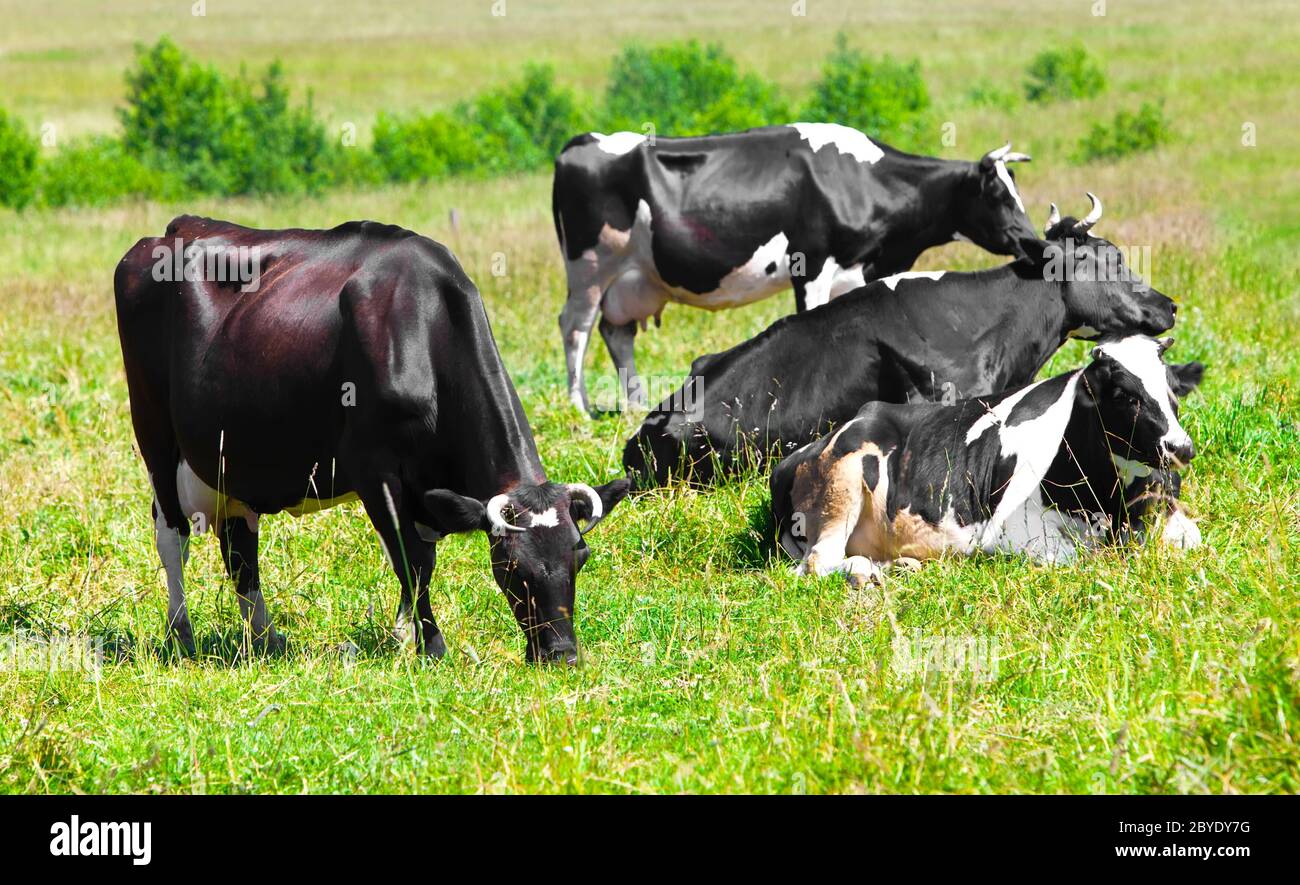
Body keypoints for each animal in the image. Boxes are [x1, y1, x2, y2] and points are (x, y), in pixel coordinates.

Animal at [114, 215, 631, 664]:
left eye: (580, 556)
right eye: (509, 569)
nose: (561, 654)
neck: (424, 324)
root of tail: (176, 228)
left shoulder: (426, 487)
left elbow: (422, 559)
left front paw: (404, 635)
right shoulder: (374, 469)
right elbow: (412, 560)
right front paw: (431, 646)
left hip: (229, 460)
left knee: (240, 550)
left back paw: (264, 638)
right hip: (155, 436)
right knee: (172, 535)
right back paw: (180, 632)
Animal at [553, 124, 1039, 412]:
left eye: (1018, 190)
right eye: (998, 195)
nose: (1032, 240)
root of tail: (581, 141)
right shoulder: (813, 263)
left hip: (634, 279)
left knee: (616, 333)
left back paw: (634, 403)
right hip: (588, 268)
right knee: (575, 327)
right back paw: (580, 406)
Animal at [770, 336, 1205, 585]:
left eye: (1173, 390)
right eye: (1126, 396)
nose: (1180, 448)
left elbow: (1192, 539)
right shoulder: (1016, 532)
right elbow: (1080, 557)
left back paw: (897, 567)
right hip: (841, 482)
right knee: (816, 562)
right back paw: (865, 574)